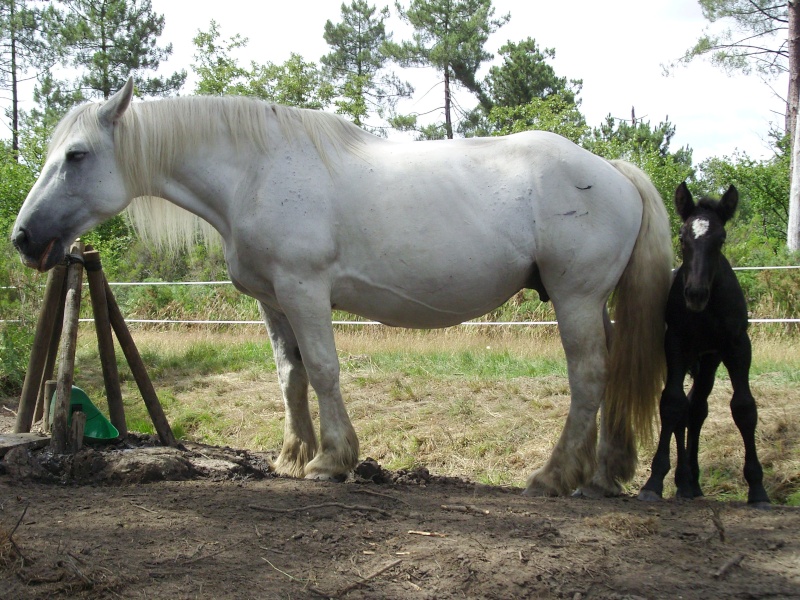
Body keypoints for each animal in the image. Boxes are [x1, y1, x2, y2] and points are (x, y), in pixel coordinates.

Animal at [14, 77, 676, 494]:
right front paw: (292, 455)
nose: (23, 238)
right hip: (591, 302)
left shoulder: (304, 291)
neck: (255, 171)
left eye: (76, 155)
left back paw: (555, 476)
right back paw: (606, 473)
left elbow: (325, 369)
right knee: (611, 372)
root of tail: (612, 171)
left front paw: (332, 460)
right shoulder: (272, 301)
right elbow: (291, 374)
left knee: (588, 376)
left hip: (575, 298)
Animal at [636, 182, 768, 506]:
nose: (694, 293)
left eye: (721, 239)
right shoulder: (676, 345)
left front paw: (757, 488)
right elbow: (671, 404)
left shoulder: (737, 347)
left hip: (709, 360)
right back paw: (684, 481)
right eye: (683, 237)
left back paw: (691, 483)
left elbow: (744, 407)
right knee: (685, 410)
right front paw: (654, 482)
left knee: (697, 408)